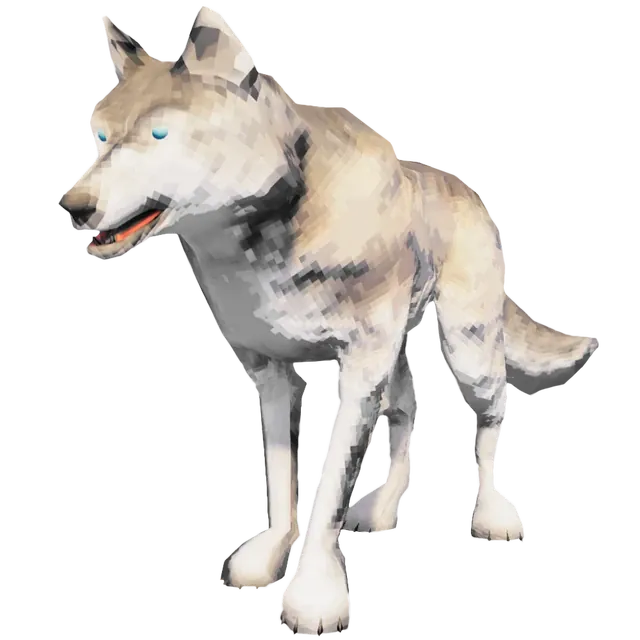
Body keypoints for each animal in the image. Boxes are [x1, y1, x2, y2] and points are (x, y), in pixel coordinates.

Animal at [58, 6, 600, 635]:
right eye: (99, 137)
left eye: (160, 136)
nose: (73, 205)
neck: (262, 242)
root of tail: (465, 188)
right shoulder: (269, 370)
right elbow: (280, 476)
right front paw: (270, 553)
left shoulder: (358, 365)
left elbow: (331, 488)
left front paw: (314, 595)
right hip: (402, 352)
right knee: (408, 405)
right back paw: (386, 508)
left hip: (469, 347)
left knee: (494, 406)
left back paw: (492, 513)